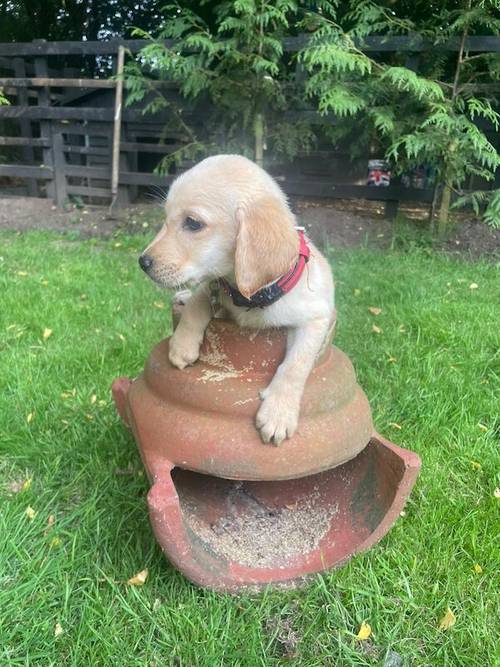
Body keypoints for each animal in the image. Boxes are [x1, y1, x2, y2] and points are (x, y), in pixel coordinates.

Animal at [140, 156, 336, 446]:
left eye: (193, 223)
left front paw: (278, 412)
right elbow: (198, 301)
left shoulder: (317, 317)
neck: (251, 295)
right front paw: (182, 344)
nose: (142, 262)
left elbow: (296, 364)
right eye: (166, 218)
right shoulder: (215, 286)